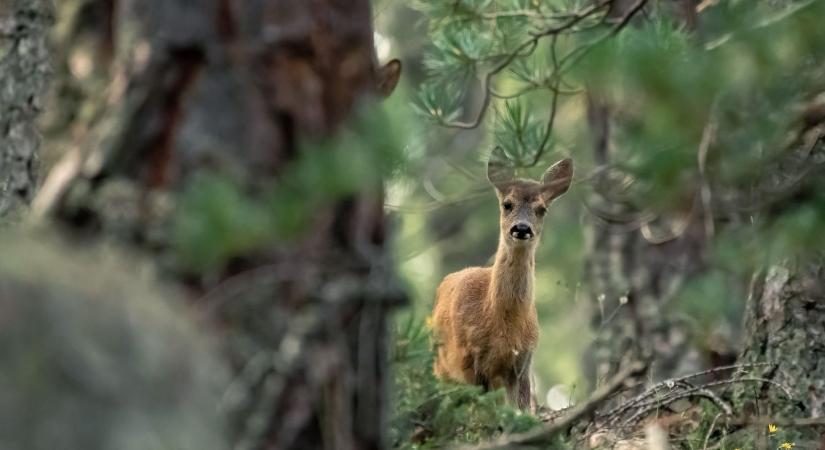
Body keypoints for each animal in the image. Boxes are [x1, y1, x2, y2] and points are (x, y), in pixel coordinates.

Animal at [432, 155, 572, 412]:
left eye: (541, 209)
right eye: (507, 204)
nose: (522, 228)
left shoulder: (523, 361)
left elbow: (522, 411)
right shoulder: (470, 360)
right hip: (443, 368)